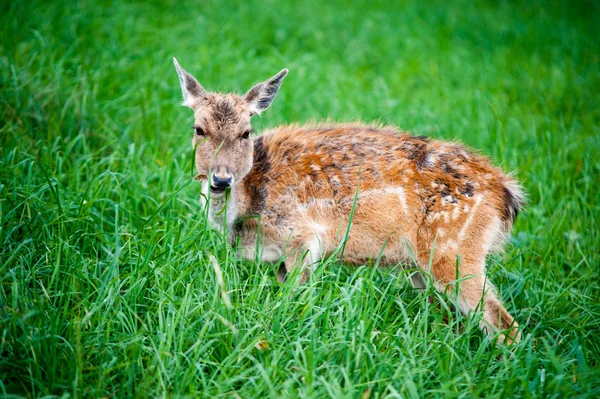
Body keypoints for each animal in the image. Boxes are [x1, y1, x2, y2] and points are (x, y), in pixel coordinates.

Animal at [173, 58, 524, 344]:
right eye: (198, 129)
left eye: (246, 132)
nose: (221, 180)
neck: (248, 207)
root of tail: (507, 192)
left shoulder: (302, 238)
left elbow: (293, 298)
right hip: (420, 265)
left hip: (454, 250)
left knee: (504, 324)